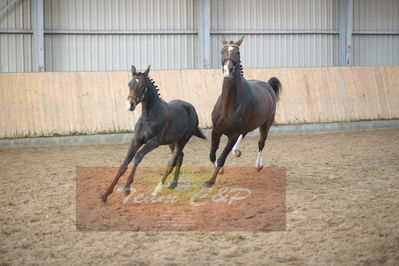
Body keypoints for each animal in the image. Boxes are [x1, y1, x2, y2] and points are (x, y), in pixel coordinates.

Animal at [100, 65, 206, 203]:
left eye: (142, 85)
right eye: (129, 84)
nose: (130, 105)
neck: (148, 116)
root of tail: (192, 108)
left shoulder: (154, 142)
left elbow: (138, 157)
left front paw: (127, 189)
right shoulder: (136, 140)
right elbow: (124, 164)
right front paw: (105, 195)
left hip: (183, 140)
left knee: (172, 160)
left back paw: (157, 191)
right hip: (172, 142)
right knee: (180, 156)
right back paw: (173, 184)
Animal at [205, 37, 282, 187]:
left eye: (238, 52)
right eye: (222, 51)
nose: (227, 70)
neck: (228, 105)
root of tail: (268, 85)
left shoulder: (233, 135)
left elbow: (222, 156)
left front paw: (211, 180)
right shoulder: (216, 130)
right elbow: (212, 154)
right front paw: (220, 170)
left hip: (265, 124)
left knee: (261, 142)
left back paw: (258, 165)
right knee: (245, 134)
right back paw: (236, 151)